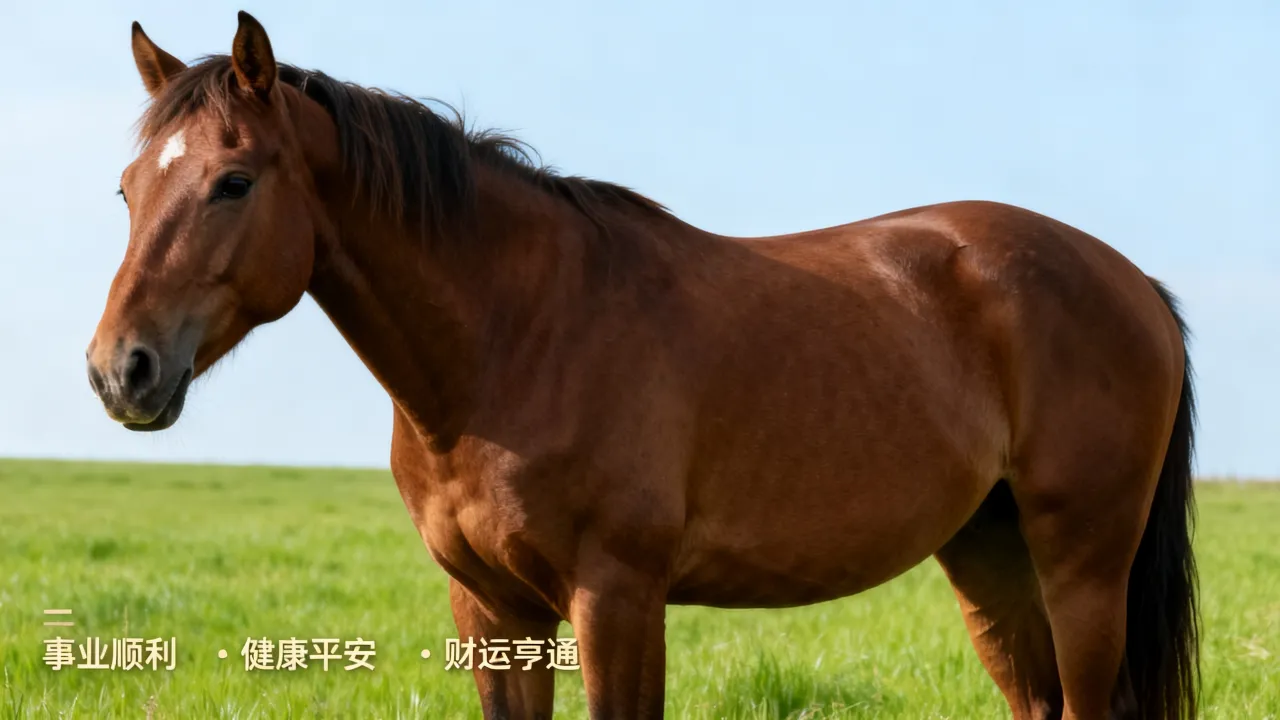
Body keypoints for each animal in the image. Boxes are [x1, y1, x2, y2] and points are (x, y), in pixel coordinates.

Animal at [86, 12, 1199, 720]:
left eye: (233, 182)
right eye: (128, 187)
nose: (119, 372)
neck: (516, 340)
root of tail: (1132, 281)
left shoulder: (616, 601)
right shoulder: (492, 611)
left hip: (1081, 563)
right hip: (988, 556)